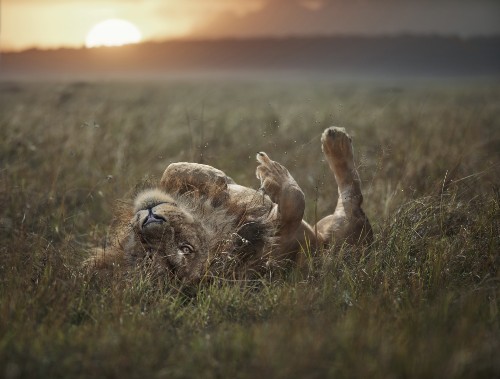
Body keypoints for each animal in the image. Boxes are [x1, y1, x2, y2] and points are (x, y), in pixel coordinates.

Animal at [88, 129, 372, 284]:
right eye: (184, 249)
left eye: (141, 241)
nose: (150, 220)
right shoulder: (284, 242)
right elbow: (294, 199)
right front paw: (273, 174)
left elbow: (173, 170)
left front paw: (216, 179)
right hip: (341, 233)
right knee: (352, 196)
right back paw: (335, 142)